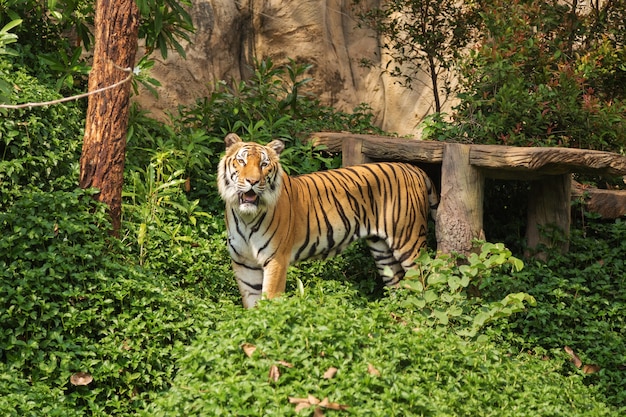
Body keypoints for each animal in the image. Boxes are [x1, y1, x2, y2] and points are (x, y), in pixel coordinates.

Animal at [217, 132, 436, 308]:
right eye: (242, 162)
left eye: (264, 165)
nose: (252, 182)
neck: (246, 217)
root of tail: (414, 168)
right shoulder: (244, 263)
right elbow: (252, 306)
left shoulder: (276, 260)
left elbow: (269, 302)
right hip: (382, 251)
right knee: (399, 284)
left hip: (409, 242)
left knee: (424, 281)